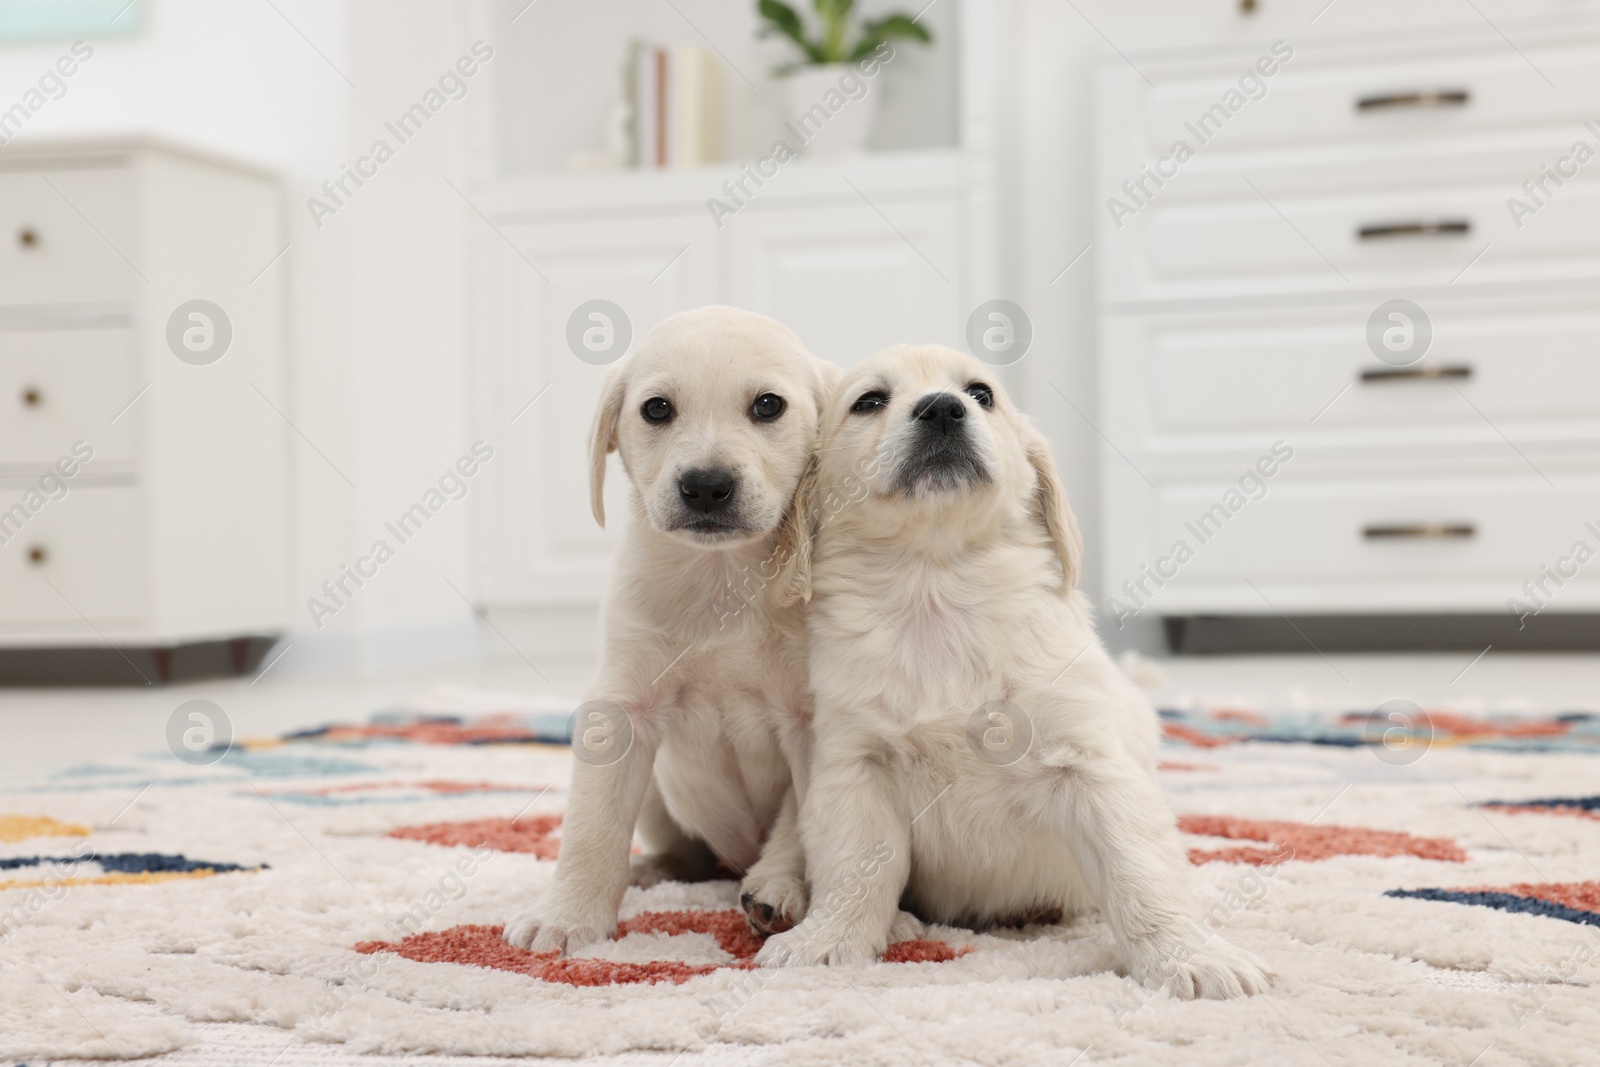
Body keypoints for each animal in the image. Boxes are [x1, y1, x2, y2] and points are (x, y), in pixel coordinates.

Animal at [505, 307, 838, 953]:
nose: (706, 485)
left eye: (768, 406)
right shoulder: (621, 709)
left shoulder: (813, 722)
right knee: (687, 857)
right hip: (661, 796)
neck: (721, 577)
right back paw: (651, 871)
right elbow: (593, 827)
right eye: (657, 409)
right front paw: (567, 915)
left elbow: (814, 827)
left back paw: (776, 889)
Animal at [755, 343, 1267, 1004]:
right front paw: (828, 940)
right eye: (869, 401)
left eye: (981, 394)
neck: (934, 585)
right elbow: (855, 865)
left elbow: (1139, 872)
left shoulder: (1089, 764)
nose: (942, 409)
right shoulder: (853, 764)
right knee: (788, 835)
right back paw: (780, 892)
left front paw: (1189, 957)